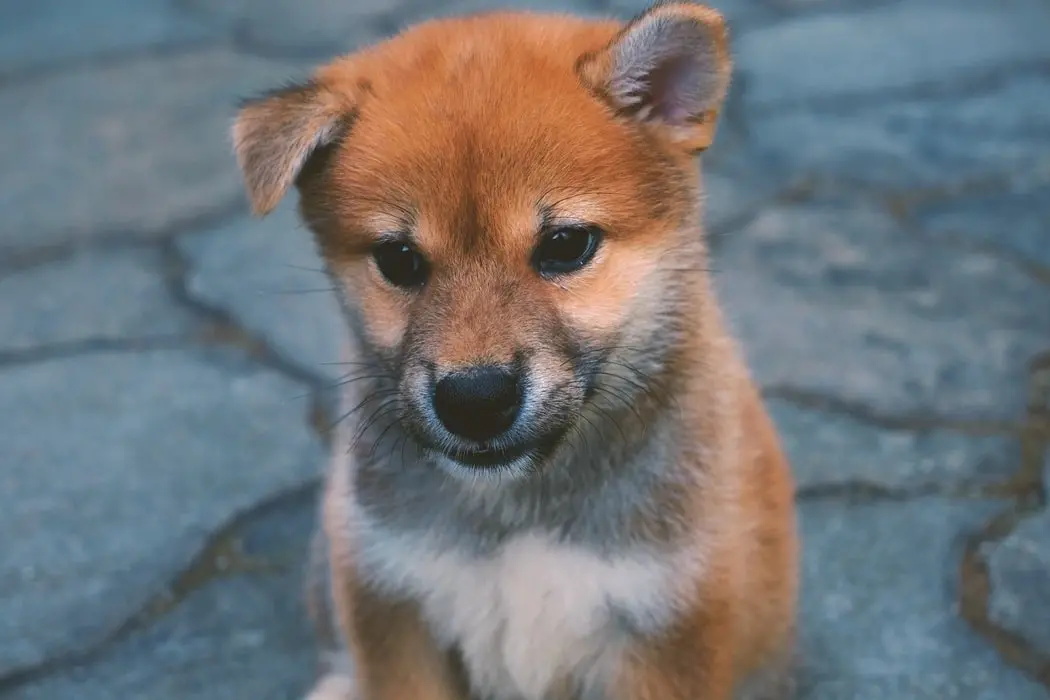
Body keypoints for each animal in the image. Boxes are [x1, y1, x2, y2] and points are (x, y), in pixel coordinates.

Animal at [234, 1, 797, 700]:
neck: (516, 514)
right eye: (399, 259)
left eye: (566, 245)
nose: (475, 400)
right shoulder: (393, 604)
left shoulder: (667, 629)